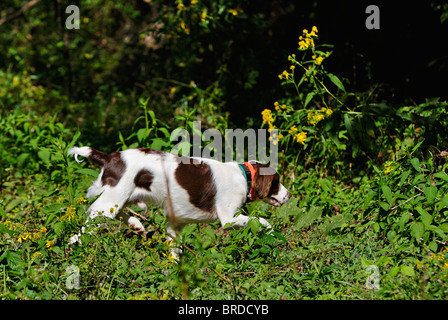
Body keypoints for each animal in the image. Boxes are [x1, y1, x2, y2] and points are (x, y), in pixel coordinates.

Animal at [66, 146, 290, 256]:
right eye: (276, 182)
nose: (288, 196)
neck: (244, 177)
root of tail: (109, 158)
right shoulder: (227, 219)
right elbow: (261, 221)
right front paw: (272, 233)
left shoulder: (176, 224)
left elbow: (175, 253)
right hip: (112, 200)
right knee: (81, 231)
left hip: (119, 198)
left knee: (117, 213)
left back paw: (136, 224)